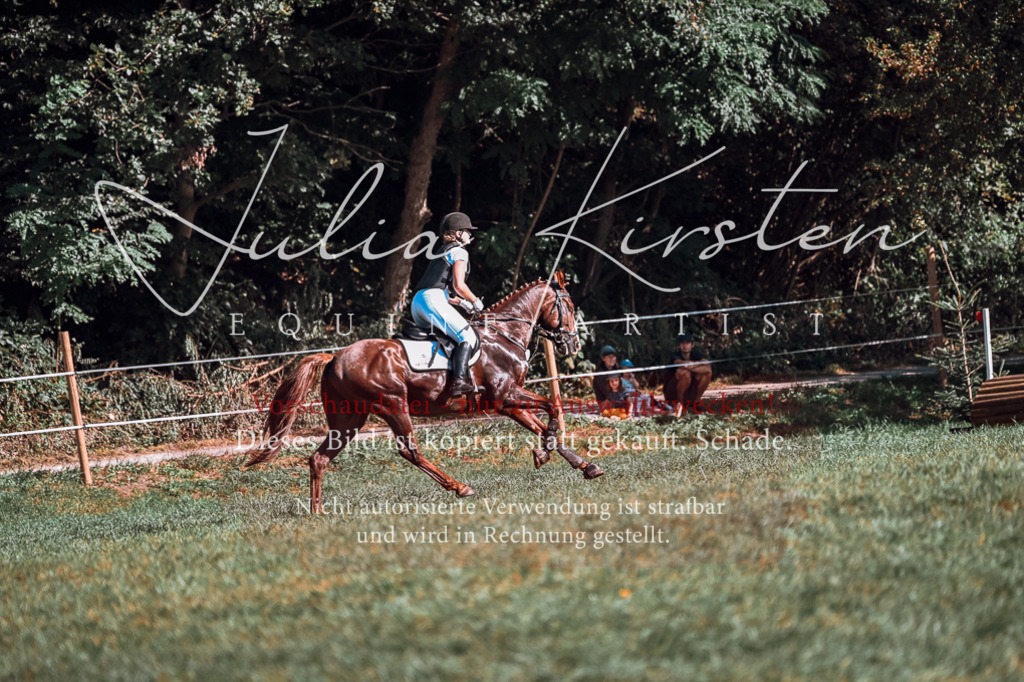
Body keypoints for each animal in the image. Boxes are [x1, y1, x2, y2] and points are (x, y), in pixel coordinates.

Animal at [245, 273, 604, 513]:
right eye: (569, 305)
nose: (572, 344)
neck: (504, 334)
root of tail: (334, 357)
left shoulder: (507, 402)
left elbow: (543, 426)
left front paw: (583, 465)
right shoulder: (506, 395)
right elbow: (553, 408)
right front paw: (545, 455)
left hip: (349, 419)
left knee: (320, 458)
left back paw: (317, 512)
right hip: (393, 406)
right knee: (410, 451)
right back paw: (460, 487)